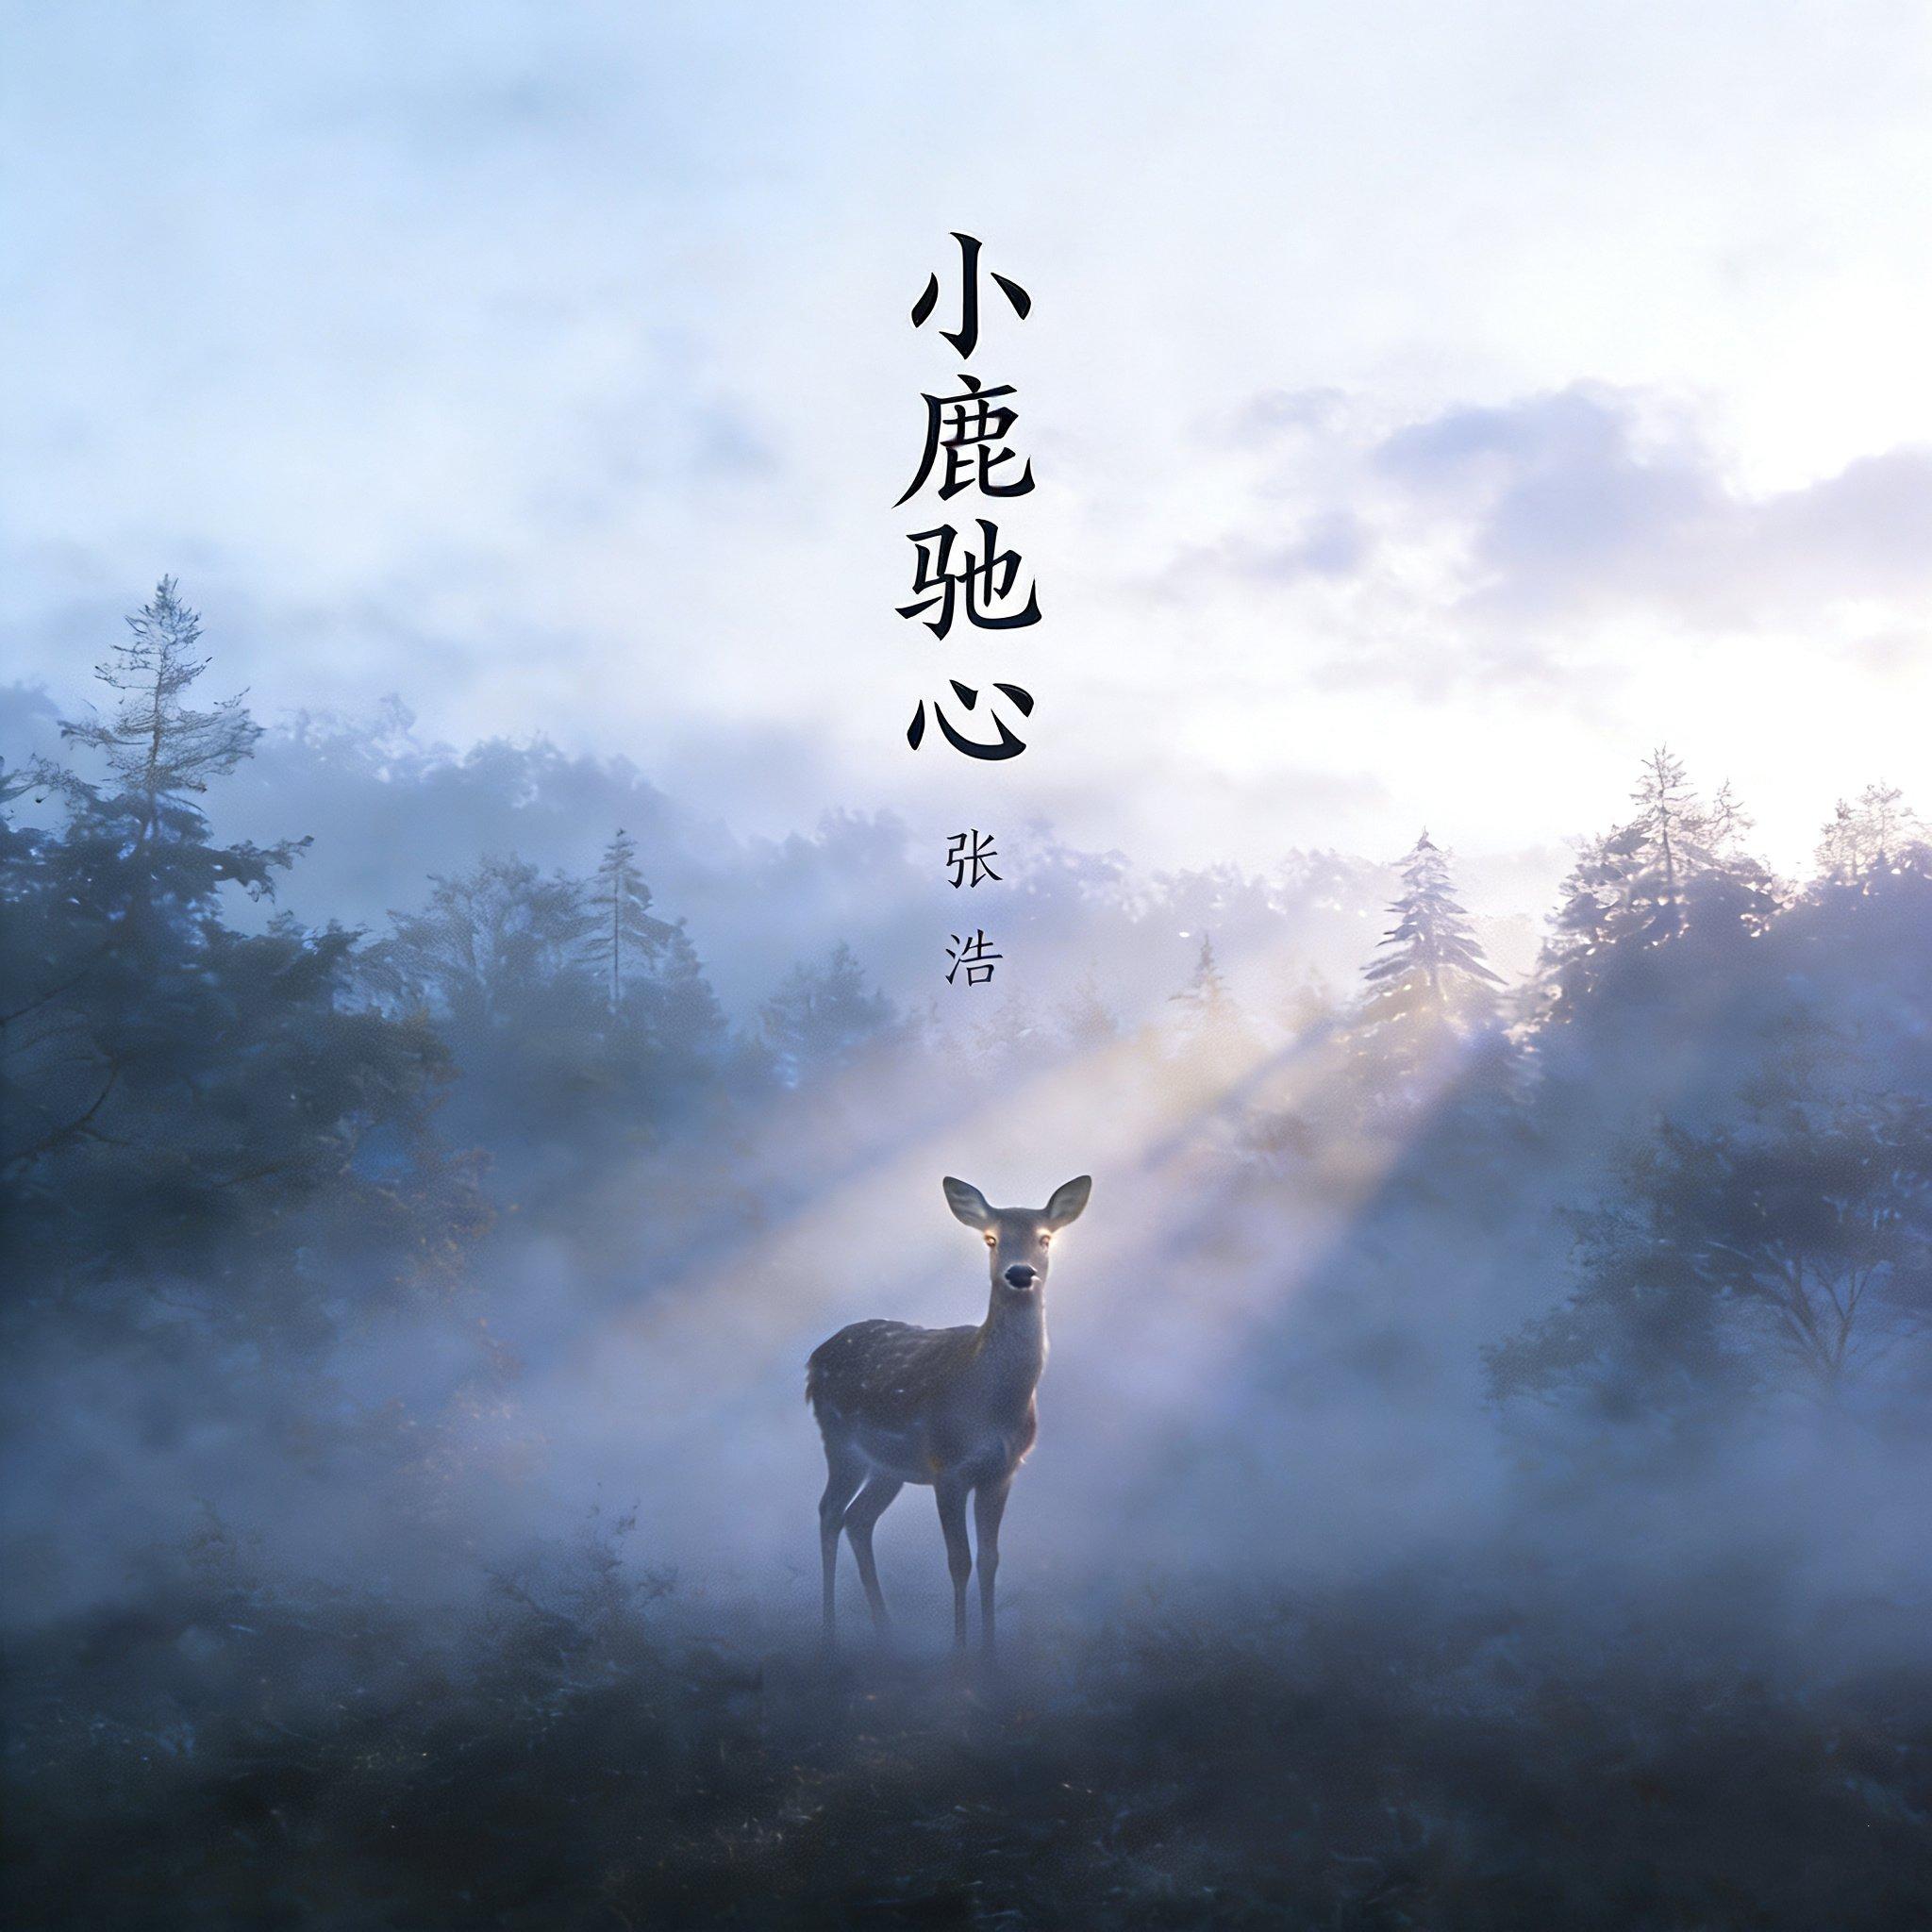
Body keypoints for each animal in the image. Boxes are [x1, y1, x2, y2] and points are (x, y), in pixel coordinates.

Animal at [806, 1174, 1092, 1656]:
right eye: (991, 1238)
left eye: (1045, 1238)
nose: (1020, 1273)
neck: (991, 1407)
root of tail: (814, 1357)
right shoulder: (948, 1467)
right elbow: (959, 1561)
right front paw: (959, 1653)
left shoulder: (1002, 1471)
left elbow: (991, 1559)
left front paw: (990, 1651)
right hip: (841, 1441)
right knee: (829, 1512)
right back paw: (828, 1632)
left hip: (888, 1468)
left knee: (859, 1519)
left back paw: (886, 1630)